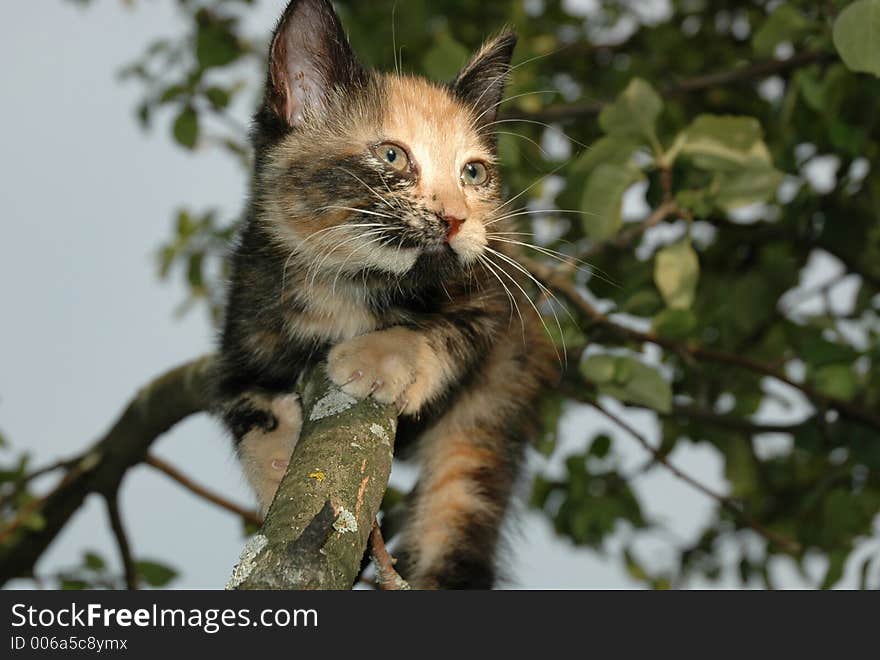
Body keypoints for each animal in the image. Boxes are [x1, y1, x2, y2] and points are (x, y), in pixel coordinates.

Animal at [216, 0, 552, 588]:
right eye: (393, 156)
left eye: (473, 172)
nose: (457, 218)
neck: (351, 280)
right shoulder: (244, 318)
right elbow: (246, 407)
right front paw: (278, 465)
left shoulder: (494, 297)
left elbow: (449, 328)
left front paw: (380, 355)